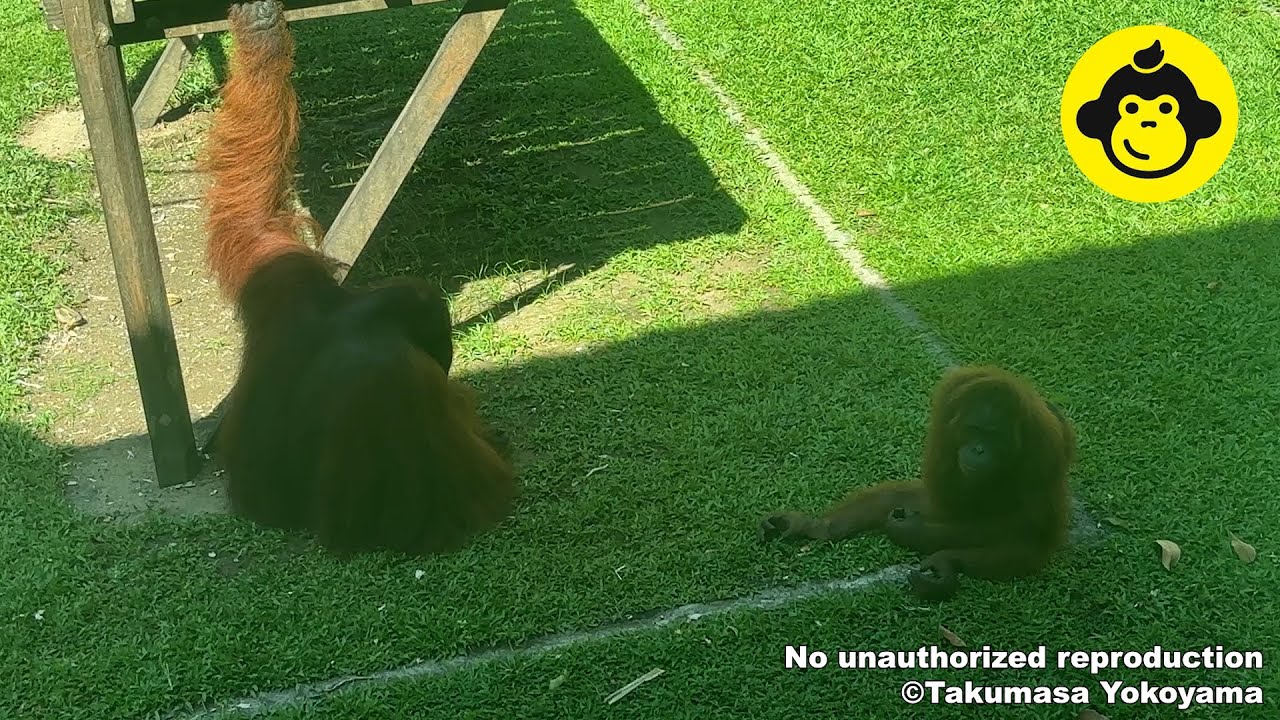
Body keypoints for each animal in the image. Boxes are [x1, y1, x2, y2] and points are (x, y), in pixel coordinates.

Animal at [201, 0, 517, 556]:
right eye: (440, 350)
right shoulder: (394, 378)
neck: (354, 316)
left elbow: (253, 209)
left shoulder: (284, 272)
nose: (446, 361)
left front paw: (260, 28)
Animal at [758, 366, 1076, 601]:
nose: (978, 450)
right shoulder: (945, 419)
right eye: (973, 430)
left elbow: (1028, 528)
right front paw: (812, 525)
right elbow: (941, 500)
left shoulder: (1043, 447)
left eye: (993, 435)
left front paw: (919, 536)